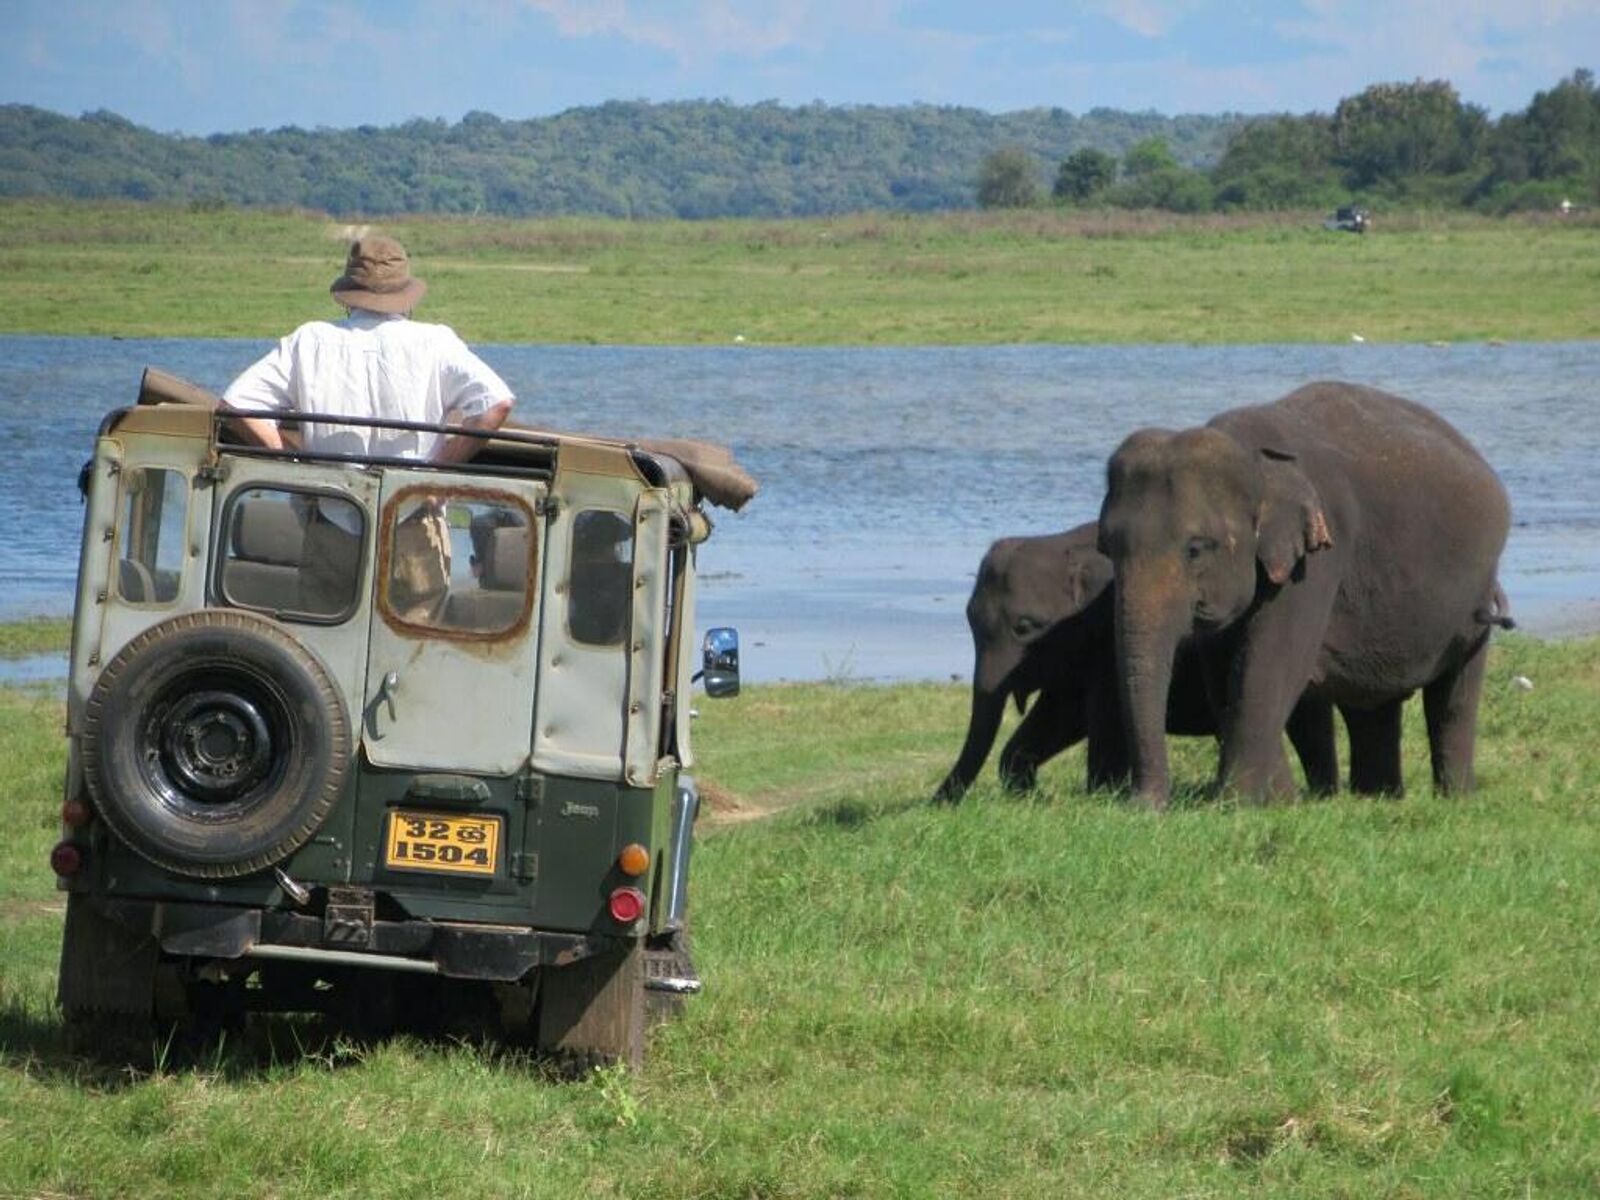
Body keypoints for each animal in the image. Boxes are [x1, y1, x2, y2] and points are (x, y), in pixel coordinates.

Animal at [1100, 382, 1510, 809]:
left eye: (1195, 549)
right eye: (1106, 548)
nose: (1143, 805)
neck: (1253, 459)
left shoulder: (1317, 562)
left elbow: (1270, 666)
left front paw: (1234, 804)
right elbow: (1225, 673)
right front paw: (1281, 801)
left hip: (1476, 594)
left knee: (1455, 695)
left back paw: (1455, 799)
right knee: (1373, 703)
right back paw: (1377, 797)